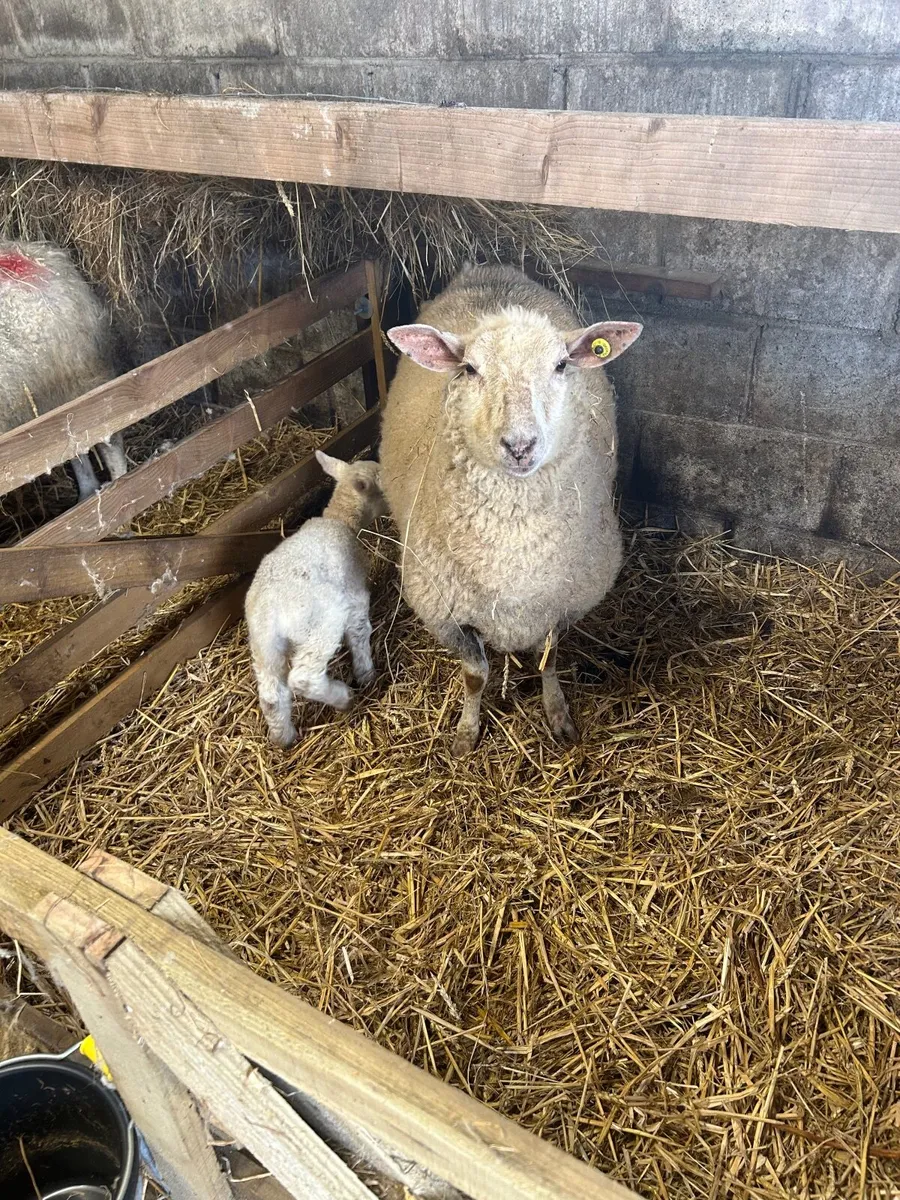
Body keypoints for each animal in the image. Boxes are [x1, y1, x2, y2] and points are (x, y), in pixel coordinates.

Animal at [245, 450, 386, 747]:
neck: (340, 519)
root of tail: (270, 611)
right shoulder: (354, 596)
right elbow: (359, 632)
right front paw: (366, 675)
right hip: (321, 623)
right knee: (303, 677)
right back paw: (343, 697)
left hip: (264, 646)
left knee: (271, 695)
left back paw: (283, 738)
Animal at [381, 264, 643, 756]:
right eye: (469, 368)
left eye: (561, 365)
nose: (520, 446)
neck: (513, 558)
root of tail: (488, 269)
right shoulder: (447, 614)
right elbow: (476, 676)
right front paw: (466, 734)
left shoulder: (562, 602)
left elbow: (549, 661)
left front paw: (558, 717)